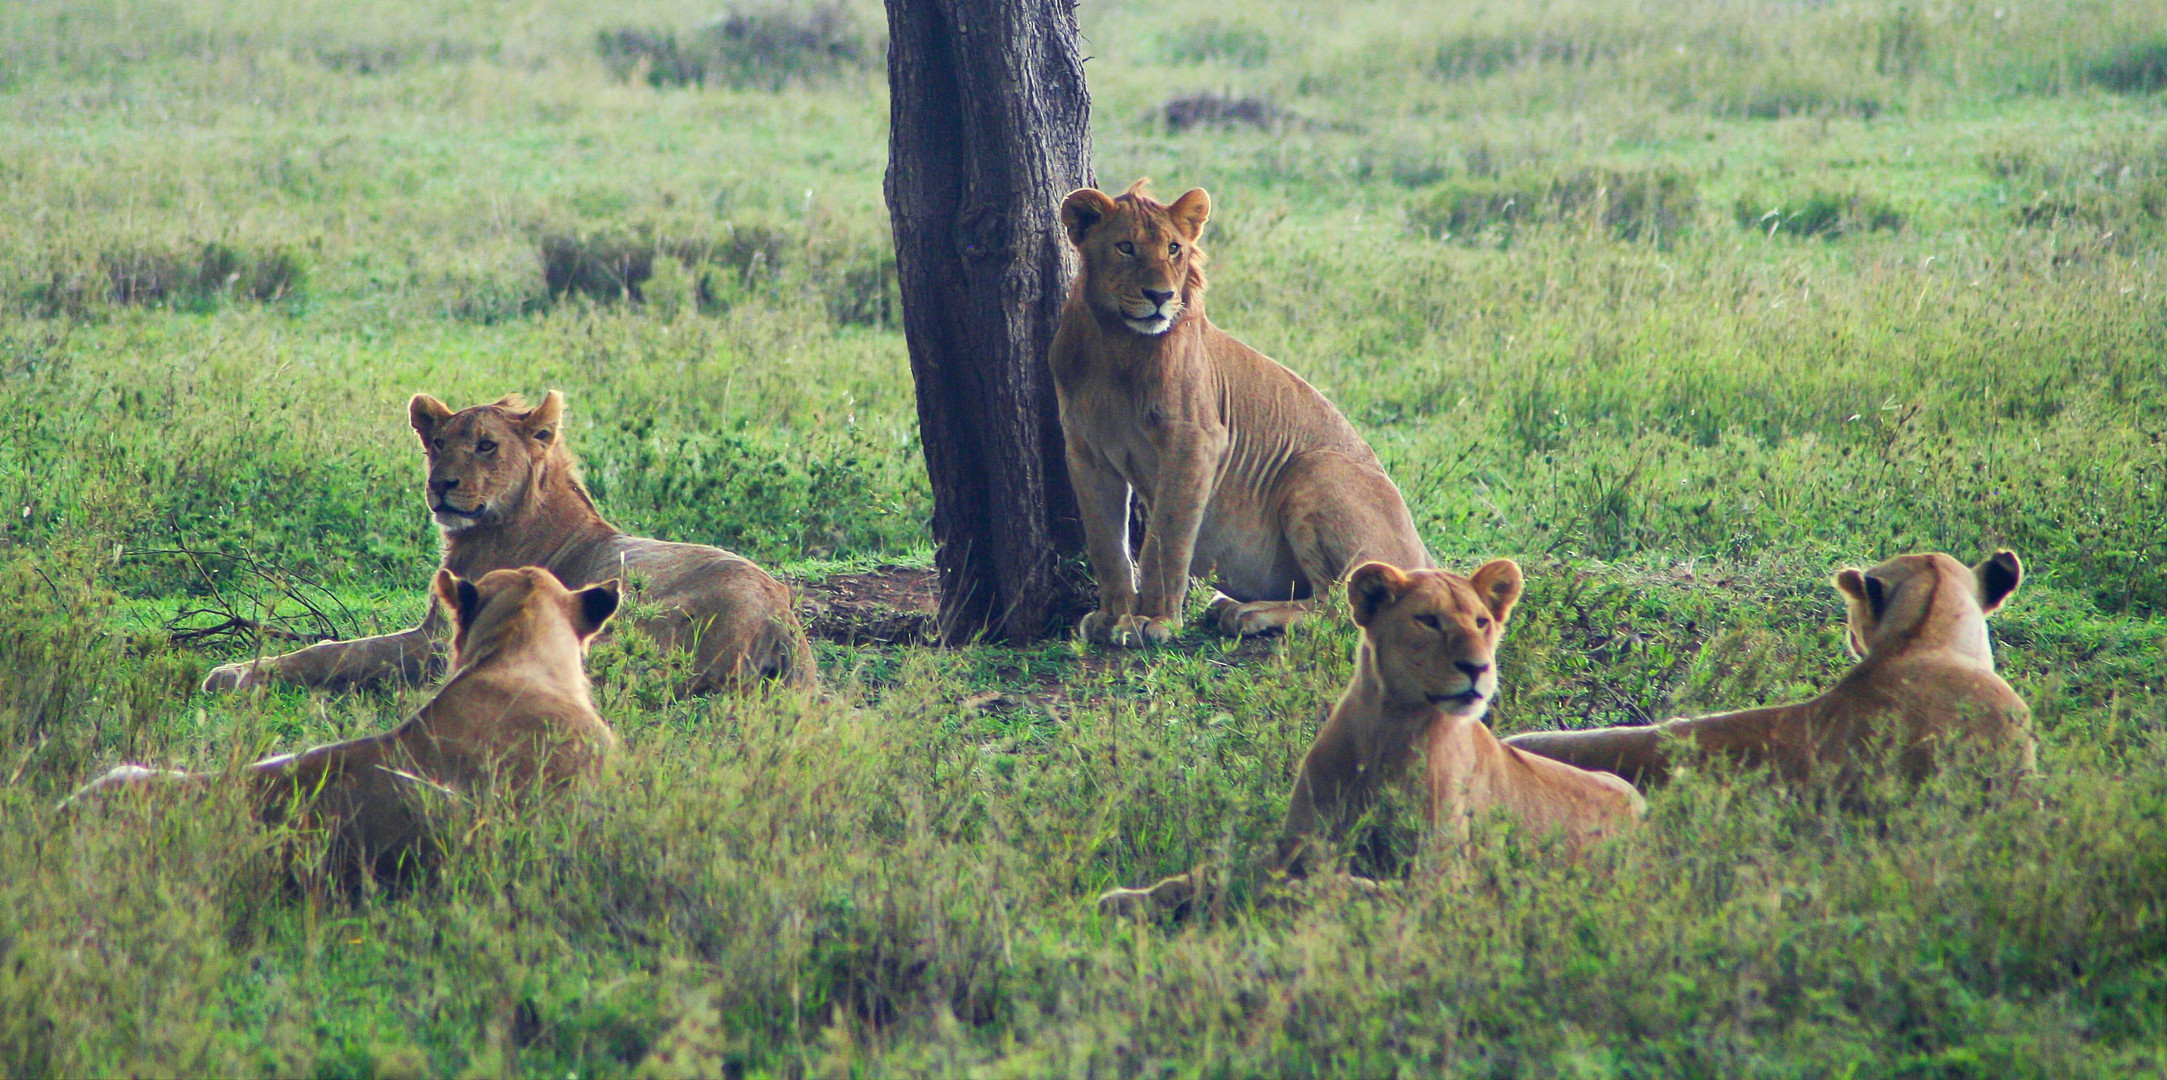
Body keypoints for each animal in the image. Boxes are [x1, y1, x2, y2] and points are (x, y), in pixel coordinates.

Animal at [201, 392, 814, 693]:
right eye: (438, 443)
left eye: (486, 445)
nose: (441, 484)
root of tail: (781, 619)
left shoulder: (436, 638)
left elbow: (339, 652)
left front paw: (233, 675)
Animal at [1053, 181, 1438, 646]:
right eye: (1125, 247)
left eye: (1174, 248)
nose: (1160, 297)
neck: (1116, 346)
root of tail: (1424, 558)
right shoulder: (1085, 450)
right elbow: (1106, 543)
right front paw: (1112, 616)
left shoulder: (1196, 439)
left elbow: (1166, 536)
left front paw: (1155, 620)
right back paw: (1227, 607)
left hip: (1313, 469)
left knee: (1339, 607)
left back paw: (1246, 613)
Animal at [1100, 559, 1638, 915]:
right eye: (1428, 620)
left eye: (1483, 622)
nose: (1479, 668)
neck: (1390, 730)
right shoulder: (1295, 842)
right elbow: (1212, 870)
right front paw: (1129, 898)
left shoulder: (1445, 880)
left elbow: (1346, 886)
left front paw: (1278, 895)